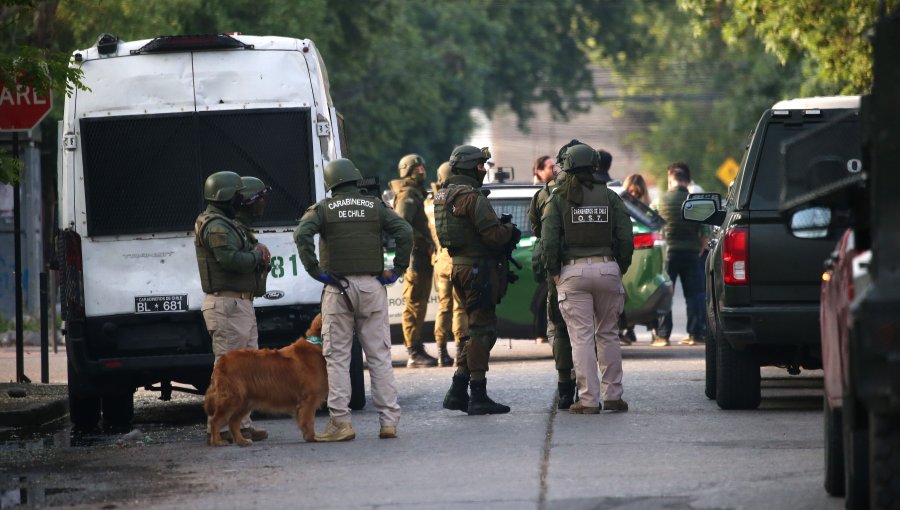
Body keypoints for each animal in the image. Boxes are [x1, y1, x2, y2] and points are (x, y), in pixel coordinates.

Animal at [204, 312, 326, 444]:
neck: (318, 344)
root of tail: (222, 360)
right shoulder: (309, 398)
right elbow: (308, 420)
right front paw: (312, 437)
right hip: (232, 398)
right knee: (215, 421)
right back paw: (218, 442)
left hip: (245, 401)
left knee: (233, 422)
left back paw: (242, 441)